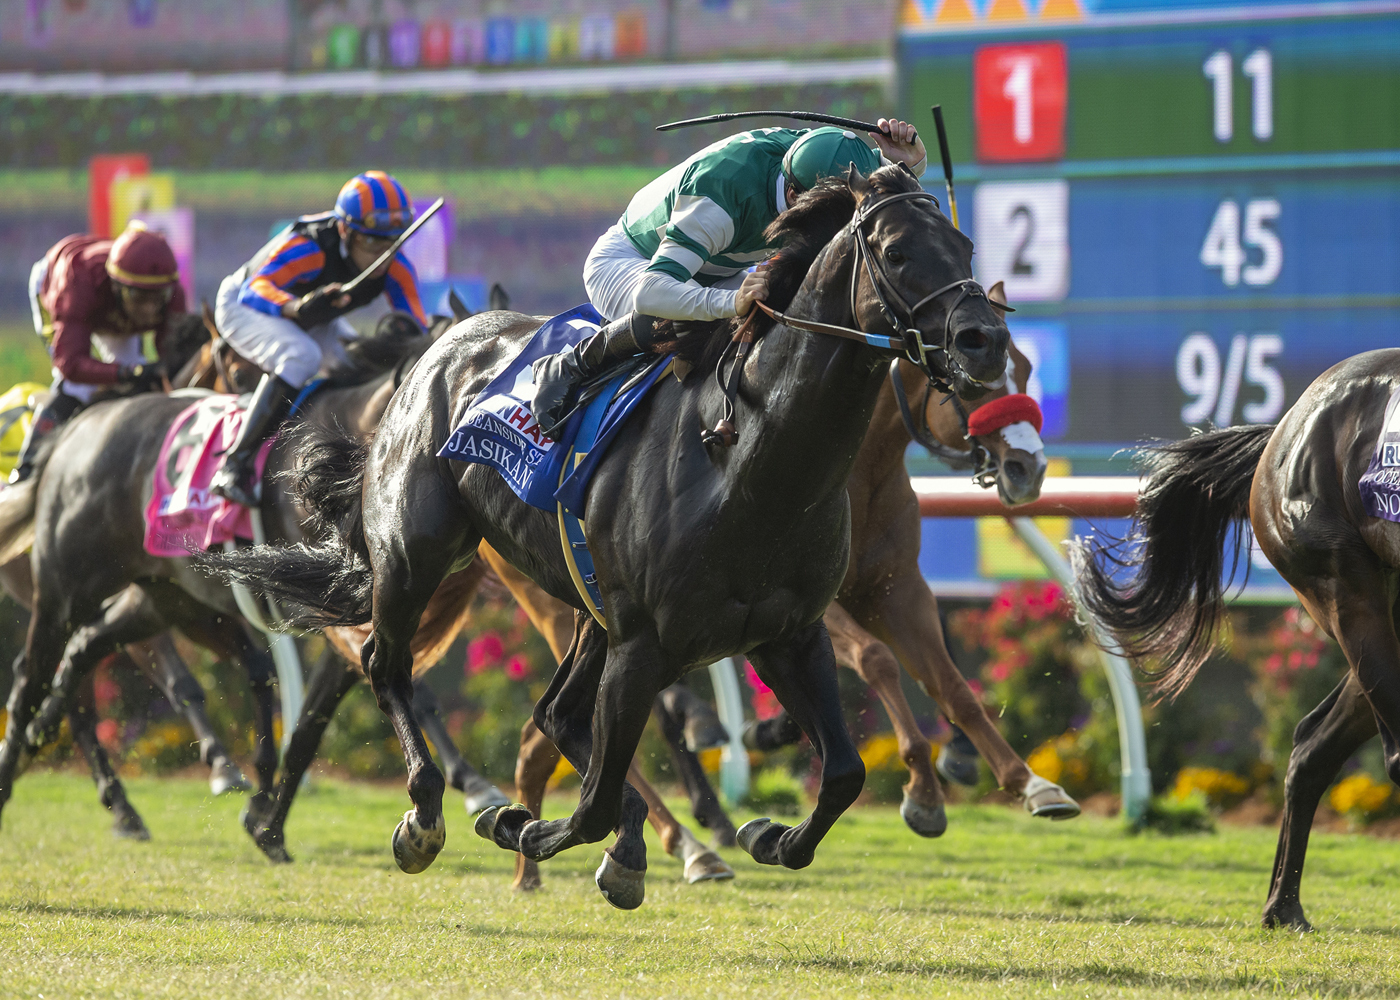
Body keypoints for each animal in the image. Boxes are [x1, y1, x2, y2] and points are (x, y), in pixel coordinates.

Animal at [202, 163, 1012, 907]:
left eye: (964, 245)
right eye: (898, 253)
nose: (984, 341)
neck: (752, 461)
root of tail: (443, 344)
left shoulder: (788, 632)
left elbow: (844, 772)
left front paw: (766, 835)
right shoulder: (645, 644)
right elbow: (589, 803)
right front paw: (531, 828)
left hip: (587, 605)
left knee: (555, 713)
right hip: (418, 553)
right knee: (387, 663)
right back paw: (427, 814)